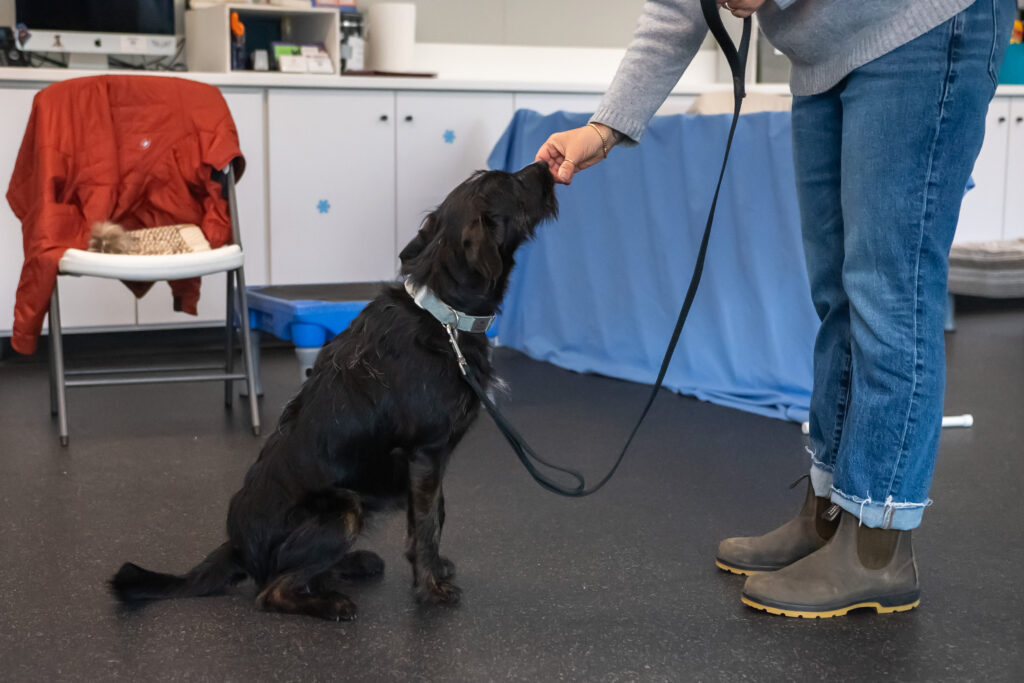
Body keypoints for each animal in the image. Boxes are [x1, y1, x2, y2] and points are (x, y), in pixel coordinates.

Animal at [111, 162, 557, 622]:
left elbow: (432, 516)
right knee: (272, 589)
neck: (445, 315)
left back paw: (352, 564)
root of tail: (238, 547)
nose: (545, 165)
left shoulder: (428, 461)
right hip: (344, 510)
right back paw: (331, 602)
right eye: (512, 183)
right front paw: (431, 587)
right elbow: (429, 523)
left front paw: (431, 570)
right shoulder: (427, 452)